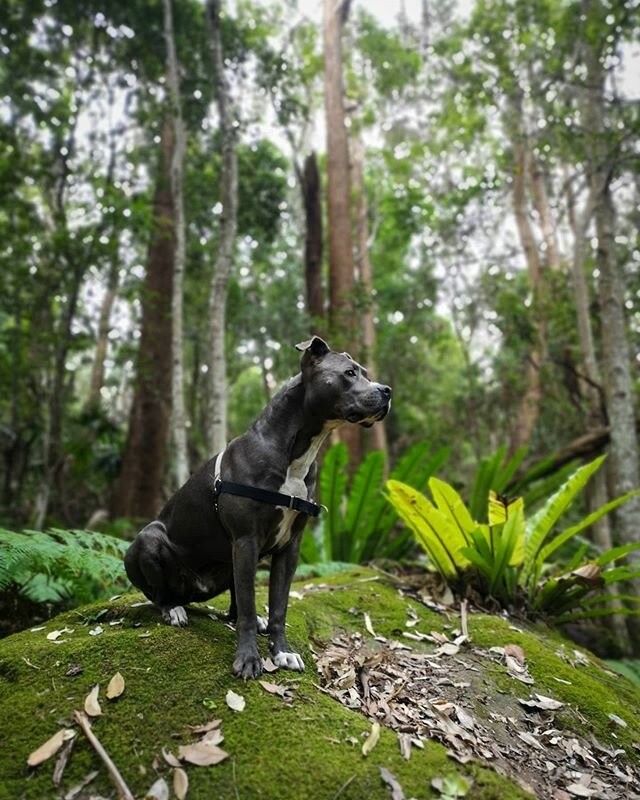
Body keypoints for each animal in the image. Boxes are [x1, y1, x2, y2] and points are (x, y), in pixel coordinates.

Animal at [122, 334, 388, 680]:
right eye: (349, 373)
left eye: (366, 373)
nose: (387, 391)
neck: (296, 455)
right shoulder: (246, 540)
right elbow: (249, 607)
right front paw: (248, 658)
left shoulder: (289, 547)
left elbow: (278, 606)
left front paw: (282, 651)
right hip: (149, 540)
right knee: (160, 594)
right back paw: (173, 610)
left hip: (229, 563)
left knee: (235, 603)